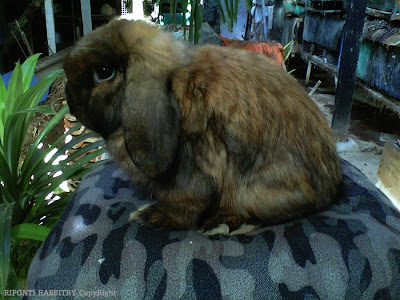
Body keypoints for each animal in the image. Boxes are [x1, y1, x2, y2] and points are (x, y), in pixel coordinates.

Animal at [64, 19, 342, 234]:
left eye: (104, 72)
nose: (68, 96)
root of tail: (332, 187)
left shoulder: (193, 173)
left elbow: (187, 207)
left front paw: (149, 217)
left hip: (255, 190)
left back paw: (221, 224)